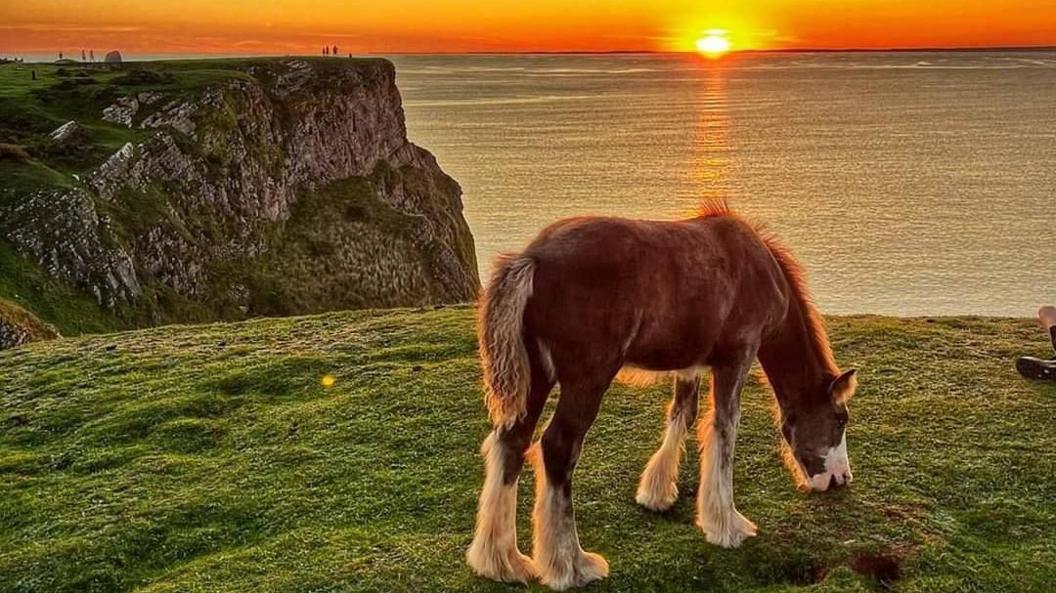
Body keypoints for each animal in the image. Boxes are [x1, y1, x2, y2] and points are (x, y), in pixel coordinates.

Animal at [466, 203, 858, 590]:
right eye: (840, 419)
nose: (840, 478)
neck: (758, 266)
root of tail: (532, 258)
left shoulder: (690, 364)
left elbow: (683, 414)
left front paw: (656, 493)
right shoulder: (737, 357)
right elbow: (724, 430)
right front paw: (727, 525)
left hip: (537, 377)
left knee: (511, 442)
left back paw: (503, 561)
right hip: (587, 379)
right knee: (558, 447)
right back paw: (571, 565)